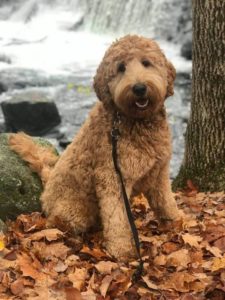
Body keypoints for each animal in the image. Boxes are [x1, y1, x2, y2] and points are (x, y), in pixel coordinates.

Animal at [11, 34, 183, 260]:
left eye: (146, 63)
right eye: (121, 68)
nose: (139, 88)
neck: (133, 120)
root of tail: (46, 188)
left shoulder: (159, 172)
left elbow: (166, 201)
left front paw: (176, 222)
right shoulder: (112, 176)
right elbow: (117, 217)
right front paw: (122, 250)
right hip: (74, 211)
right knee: (57, 224)